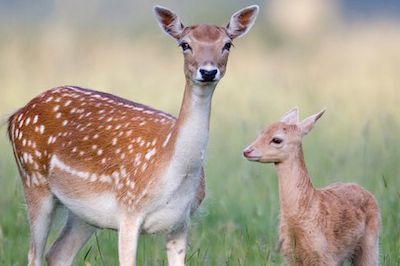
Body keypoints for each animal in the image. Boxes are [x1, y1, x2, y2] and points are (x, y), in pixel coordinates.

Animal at [7, 4, 260, 266]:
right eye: (185, 44)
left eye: (227, 44)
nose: (208, 71)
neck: (173, 171)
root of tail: (16, 116)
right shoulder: (129, 211)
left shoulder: (181, 221)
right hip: (33, 180)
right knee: (34, 254)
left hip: (83, 213)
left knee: (58, 253)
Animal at [242, 107, 380, 264]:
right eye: (261, 132)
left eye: (277, 139)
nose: (247, 151)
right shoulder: (290, 255)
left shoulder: (325, 255)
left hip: (371, 243)